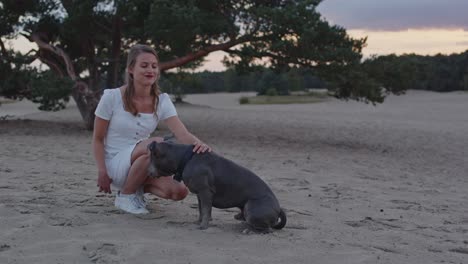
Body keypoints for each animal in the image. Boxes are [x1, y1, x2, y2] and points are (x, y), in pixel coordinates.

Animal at [147, 142, 286, 231]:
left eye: (151, 157)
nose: (148, 172)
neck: (185, 158)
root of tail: (279, 208)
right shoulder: (200, 195)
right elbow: (201, 210)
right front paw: (199, 221)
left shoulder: (205, 193)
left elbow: (206, 210)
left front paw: (203, 226)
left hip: (252, 208)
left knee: (267, 229)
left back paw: (248, 230)